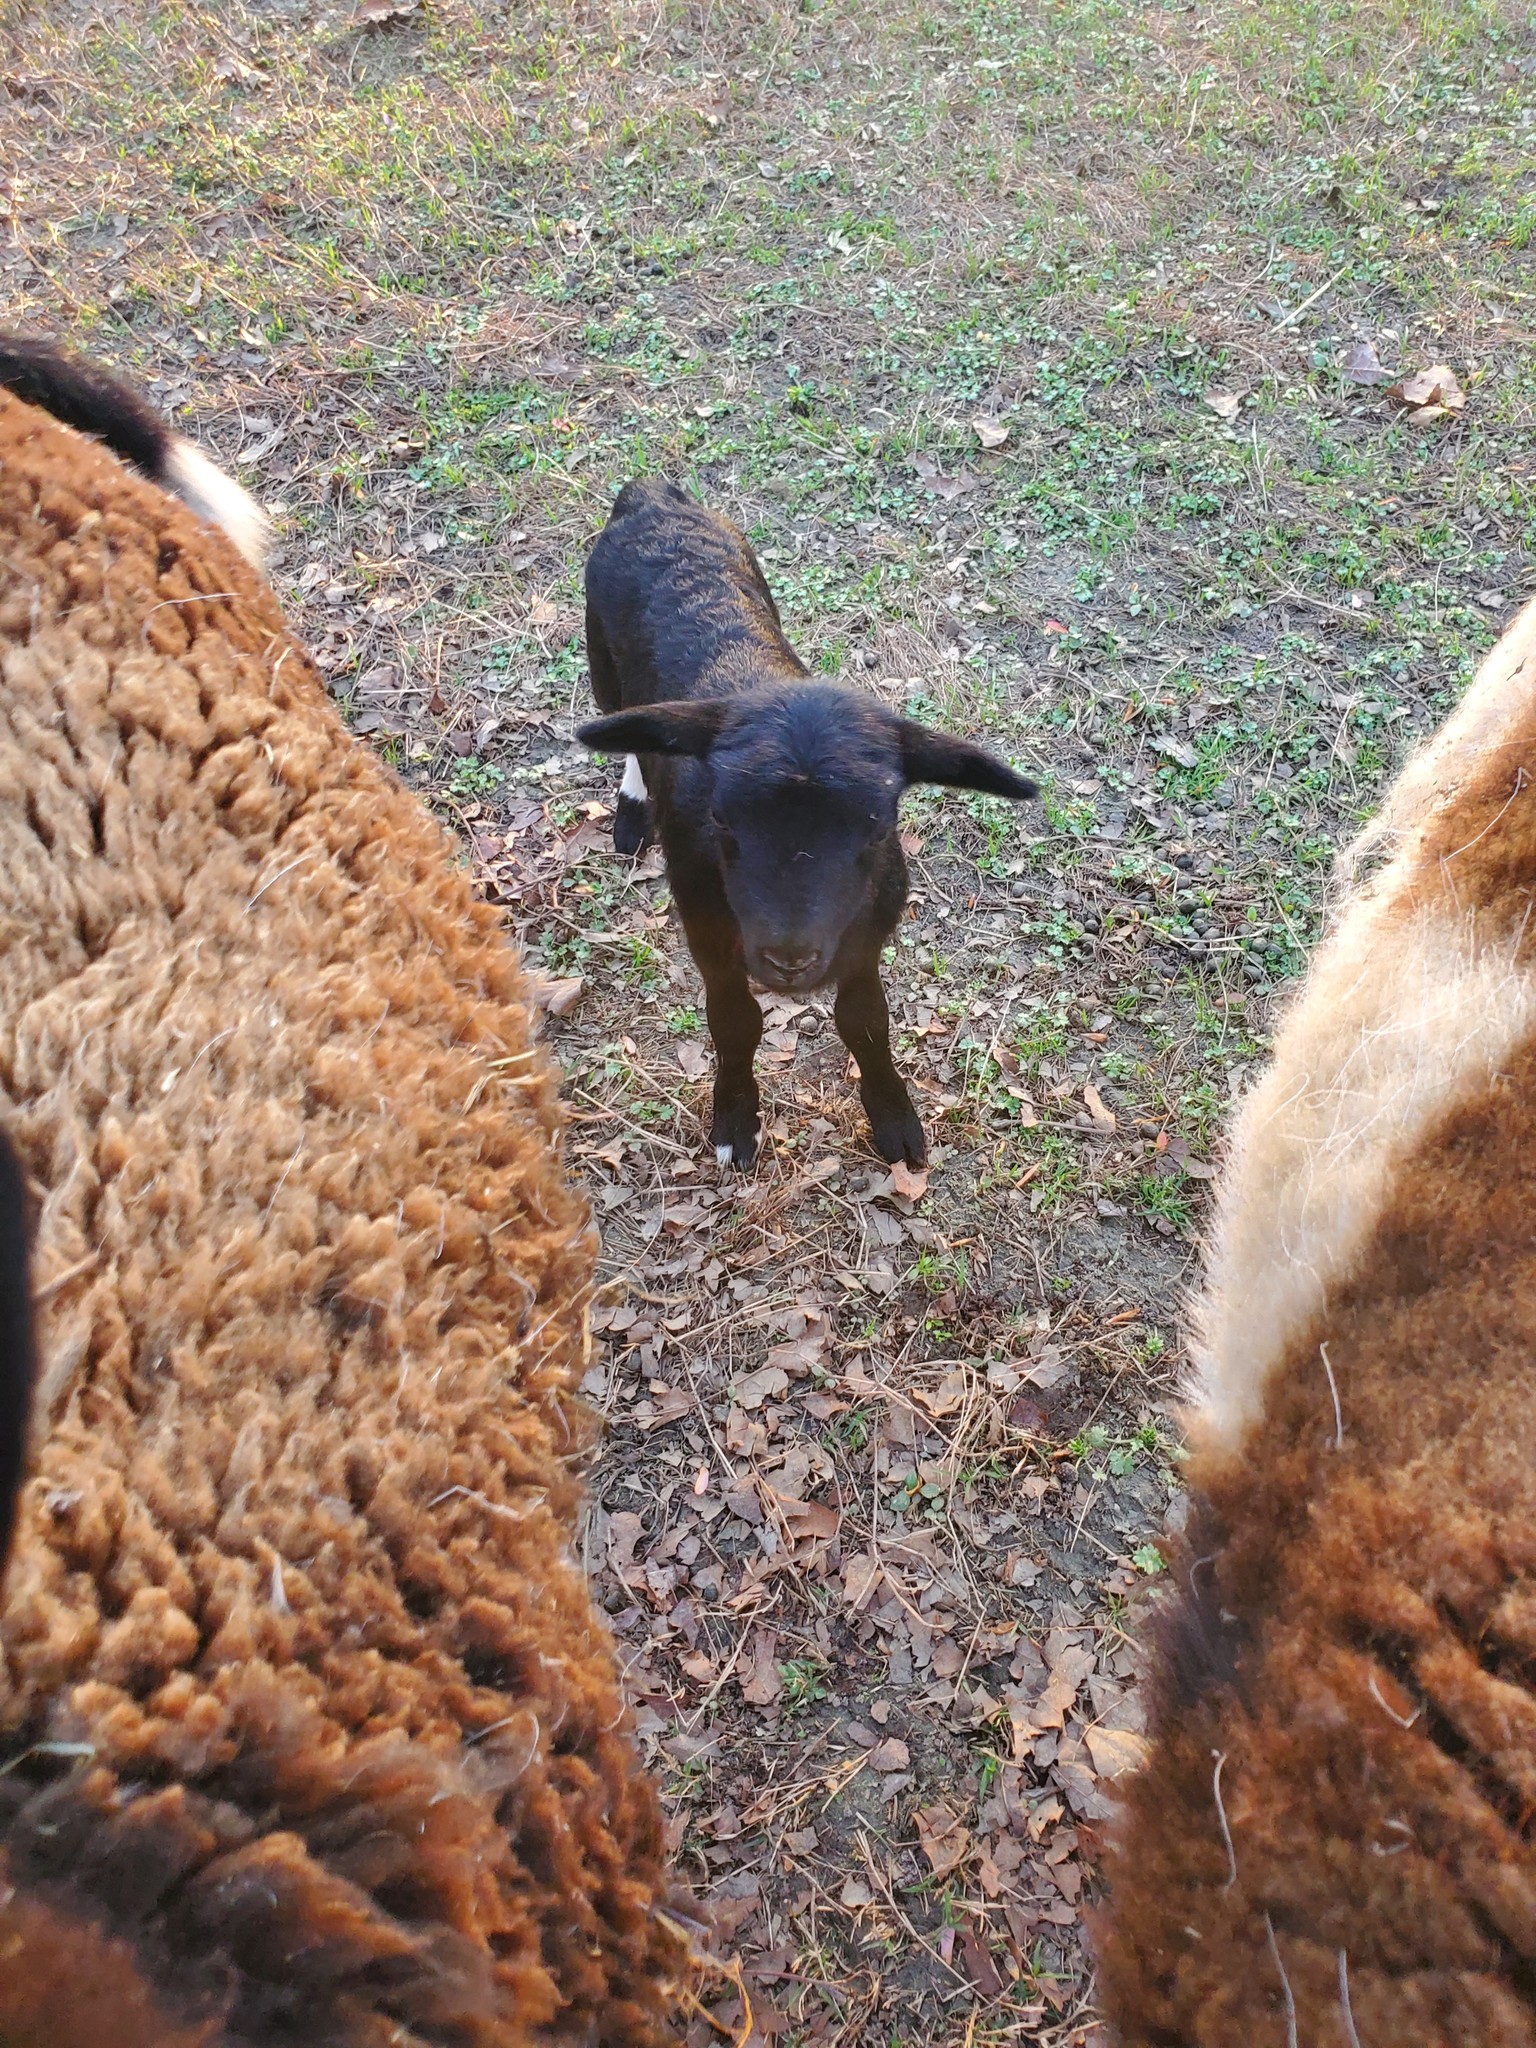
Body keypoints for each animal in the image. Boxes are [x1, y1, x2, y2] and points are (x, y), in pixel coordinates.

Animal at [578, 479, 1036, 1168]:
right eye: (721, 820)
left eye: (879, 827)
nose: (789, 959)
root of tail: (652, 494)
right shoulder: (707, 926)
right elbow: (734, 1020)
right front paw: (735, 1120)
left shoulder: (867, 934)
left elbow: (866, 1021)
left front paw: (895, 1121)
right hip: (599, 650)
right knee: (626, 721)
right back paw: (634, 810)